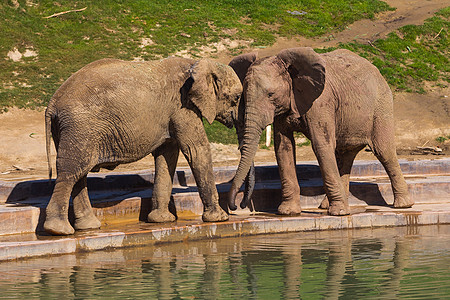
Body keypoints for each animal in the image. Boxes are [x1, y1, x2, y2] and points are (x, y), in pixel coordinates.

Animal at [44, 55, 243, 234]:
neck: (196, 62)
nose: (236, 208)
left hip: (72, 130)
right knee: (71, 171)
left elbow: (167, 155)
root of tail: (52, 103)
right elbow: (196, 150)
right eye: (236, 97)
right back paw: (58, 230)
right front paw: (220, 218)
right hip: (80, 126)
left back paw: (88, 227)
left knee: (80, 173)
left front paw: (161, 220)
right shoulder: (182, 106)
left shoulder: (173, 111)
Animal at [229, 47, 414, 216]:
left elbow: (320, 145)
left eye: (270, 94)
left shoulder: (320, 102)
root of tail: (377, 70)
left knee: (384, 152)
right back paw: (327, 206)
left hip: (381, 106)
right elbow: (283, 148)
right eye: (243, 96)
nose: (239, 206)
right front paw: (288, 212)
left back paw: (403, 205)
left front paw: (339, 214)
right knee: (344, 155)